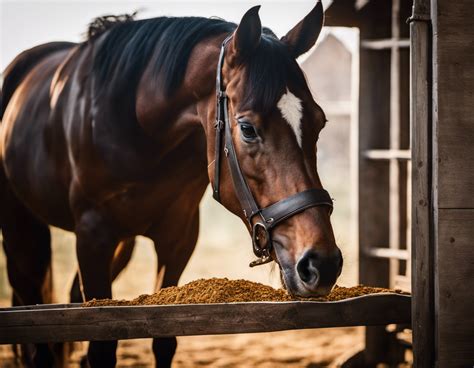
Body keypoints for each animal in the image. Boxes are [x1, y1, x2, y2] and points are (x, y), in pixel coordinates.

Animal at [0, 2, 344, 366]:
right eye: (248, 128)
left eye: (320, 122)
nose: (321, 263)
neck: (138, 125)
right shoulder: (93, 238)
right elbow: (100, 344)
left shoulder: (177, 238)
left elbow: (164, 336)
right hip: (24, 234)